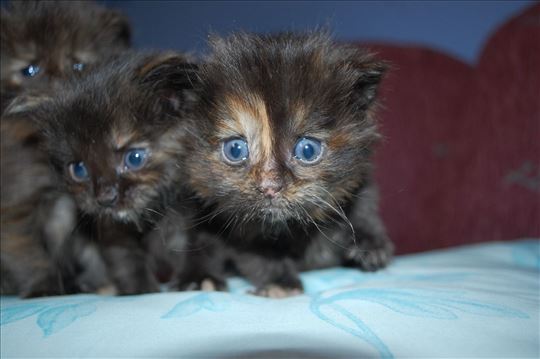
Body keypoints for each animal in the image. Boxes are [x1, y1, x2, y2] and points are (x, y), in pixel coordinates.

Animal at [36, 52, 198, 296]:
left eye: (134, 158)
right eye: (79, 169)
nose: (105, 198)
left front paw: (195, 279)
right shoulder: (113, 229)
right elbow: (126, 261)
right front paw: (142, 291)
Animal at [181, 33, 392, 298]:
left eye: (307, 150)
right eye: (235, 150)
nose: (269, 186)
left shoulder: (360, 182)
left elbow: (364, 204)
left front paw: (371, 244)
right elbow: (257, 254)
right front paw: (279, 285)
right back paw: (201, 279)